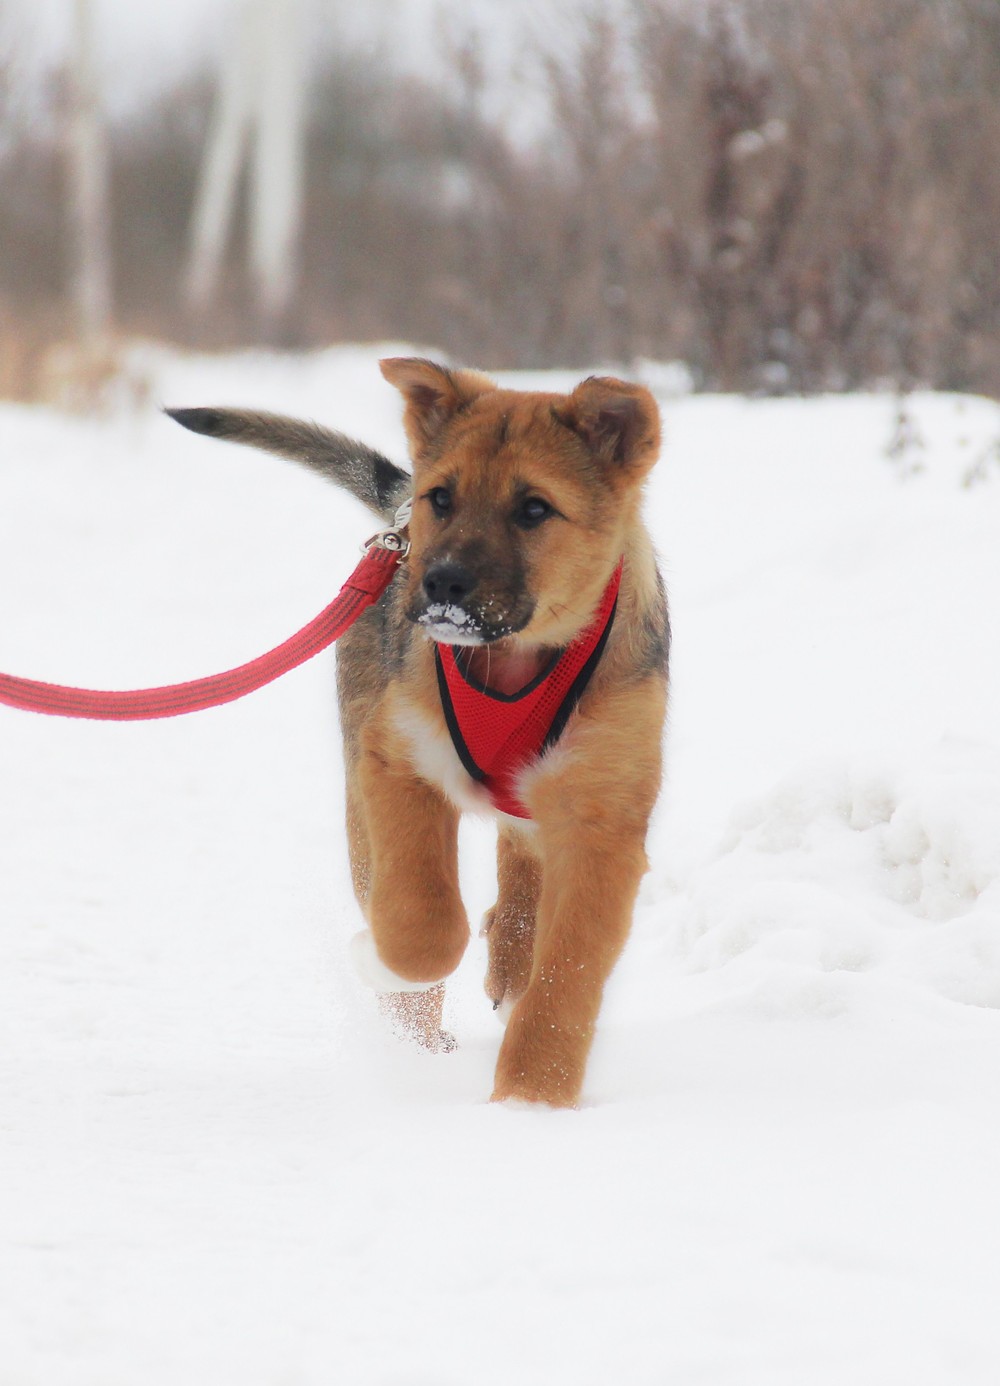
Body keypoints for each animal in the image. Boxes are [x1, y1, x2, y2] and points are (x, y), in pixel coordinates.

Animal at [169, 354, 670, 1103]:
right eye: (444, 498)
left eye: (534, 509)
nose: (439, 586)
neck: (515, 657)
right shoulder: (396, 764)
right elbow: (423, 925)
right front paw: (380, 965)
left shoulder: (601, 821)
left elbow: (566, 977)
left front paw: (530, 1101)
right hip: (361, 798)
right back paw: (419, 1036)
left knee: (521, 859)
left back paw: (508, 965)